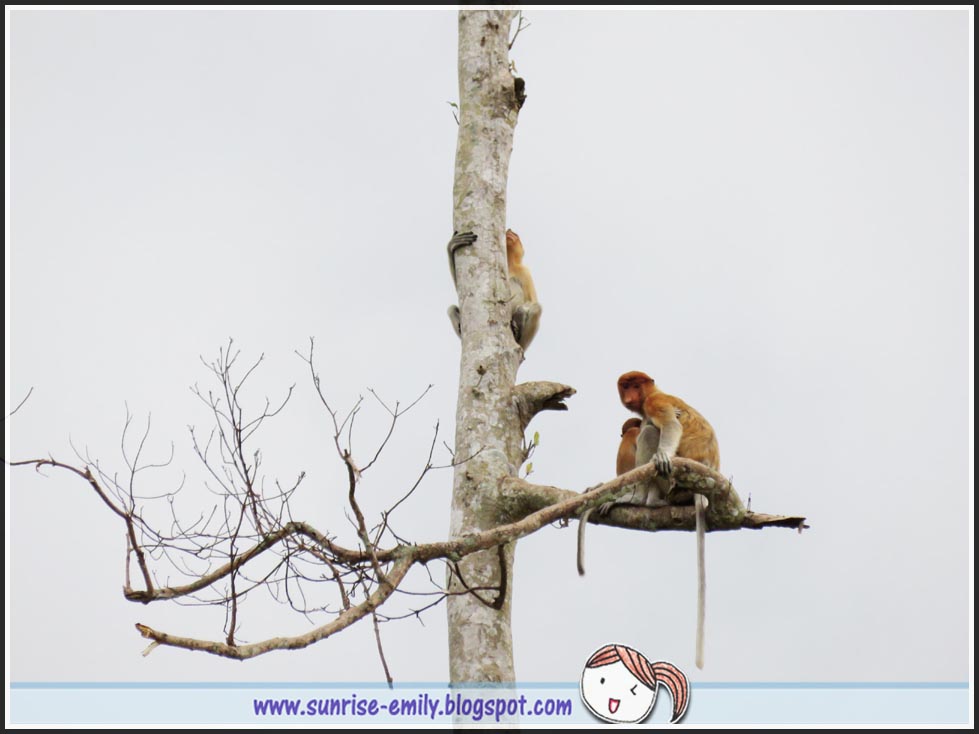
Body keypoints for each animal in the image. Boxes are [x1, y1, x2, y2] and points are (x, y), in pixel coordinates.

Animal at [620, 370, 720, 668]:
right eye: (625, 386)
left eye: (636, 385)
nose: (629, 395)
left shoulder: (654, 403)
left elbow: (669, 426)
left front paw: (662, 455)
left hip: (675, 483)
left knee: (650, 431)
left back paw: (645, 498)